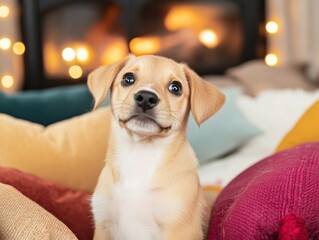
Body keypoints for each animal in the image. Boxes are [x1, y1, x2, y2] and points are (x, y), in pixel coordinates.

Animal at [89, 54, 226, 240]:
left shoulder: (179, 228)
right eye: (128, 78)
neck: (140, 154)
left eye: (176, 87)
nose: (146, 98)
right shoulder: (104, 224)